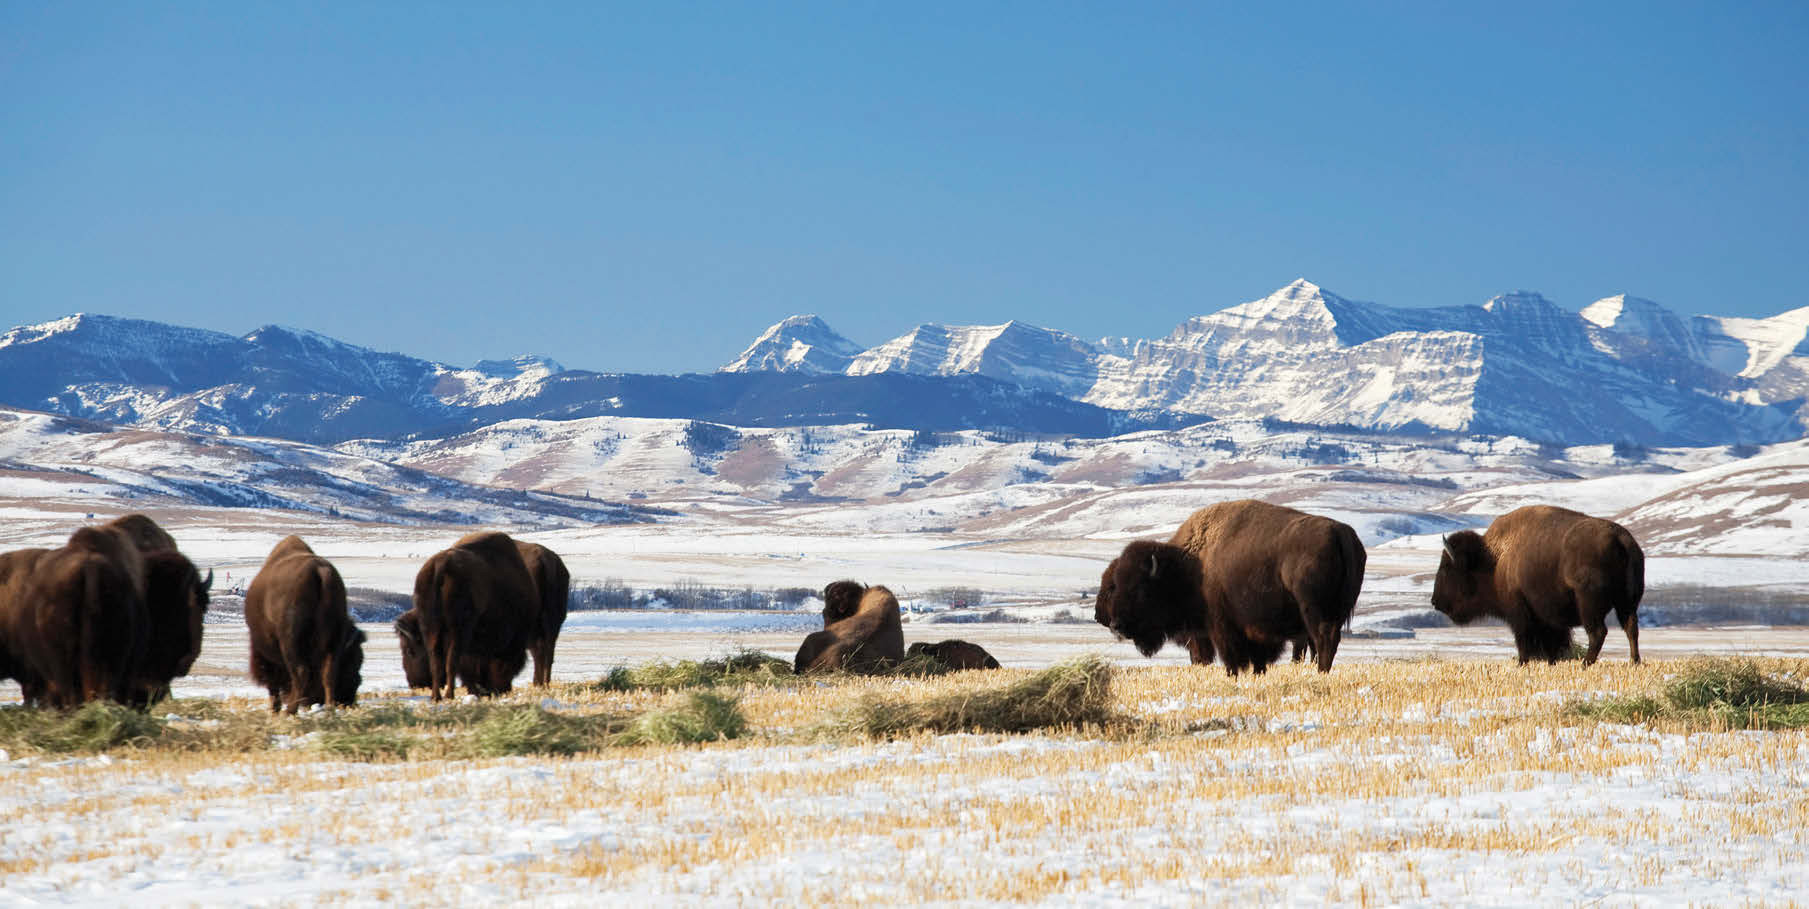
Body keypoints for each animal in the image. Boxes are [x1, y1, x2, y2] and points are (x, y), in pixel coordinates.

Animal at [244, 535, 363, 713]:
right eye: (354, 662)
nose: (349, 701)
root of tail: (320, 573)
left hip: (291, 642)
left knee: (301, 672)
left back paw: (289, 711)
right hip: (334, 639)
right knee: (328, 673)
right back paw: (328, 708)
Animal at [410, 528, 542, 698]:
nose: (503, 689)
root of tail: (441, 564)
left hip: (432, 628)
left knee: (437, 662)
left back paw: (436, 697)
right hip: (459, 629)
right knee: (452, 660)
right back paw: (450, 694)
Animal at [1092, 496, 1360, 673]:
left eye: (1140, 591)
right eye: (1116, 585)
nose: (1116, 625)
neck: (1188, 565)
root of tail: (1340, 533)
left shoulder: (1220, 627)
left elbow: (1230, 658)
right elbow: (1257, 660)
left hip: (1314, 612)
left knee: (1323, 639)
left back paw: (1321, 672)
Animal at [1432, 499, 1649, 662]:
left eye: (1446, 570)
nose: (1435, 601)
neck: (1493, 559)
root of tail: (1621, 539)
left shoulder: (1520, 613)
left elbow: (1524, 644)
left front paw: (1522, 664)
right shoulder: (1549, 621)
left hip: (1589, 605)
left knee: (1598, 633)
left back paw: (1586, 664)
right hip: (1627, 602)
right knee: (1631, 628)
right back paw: (1634, 662)